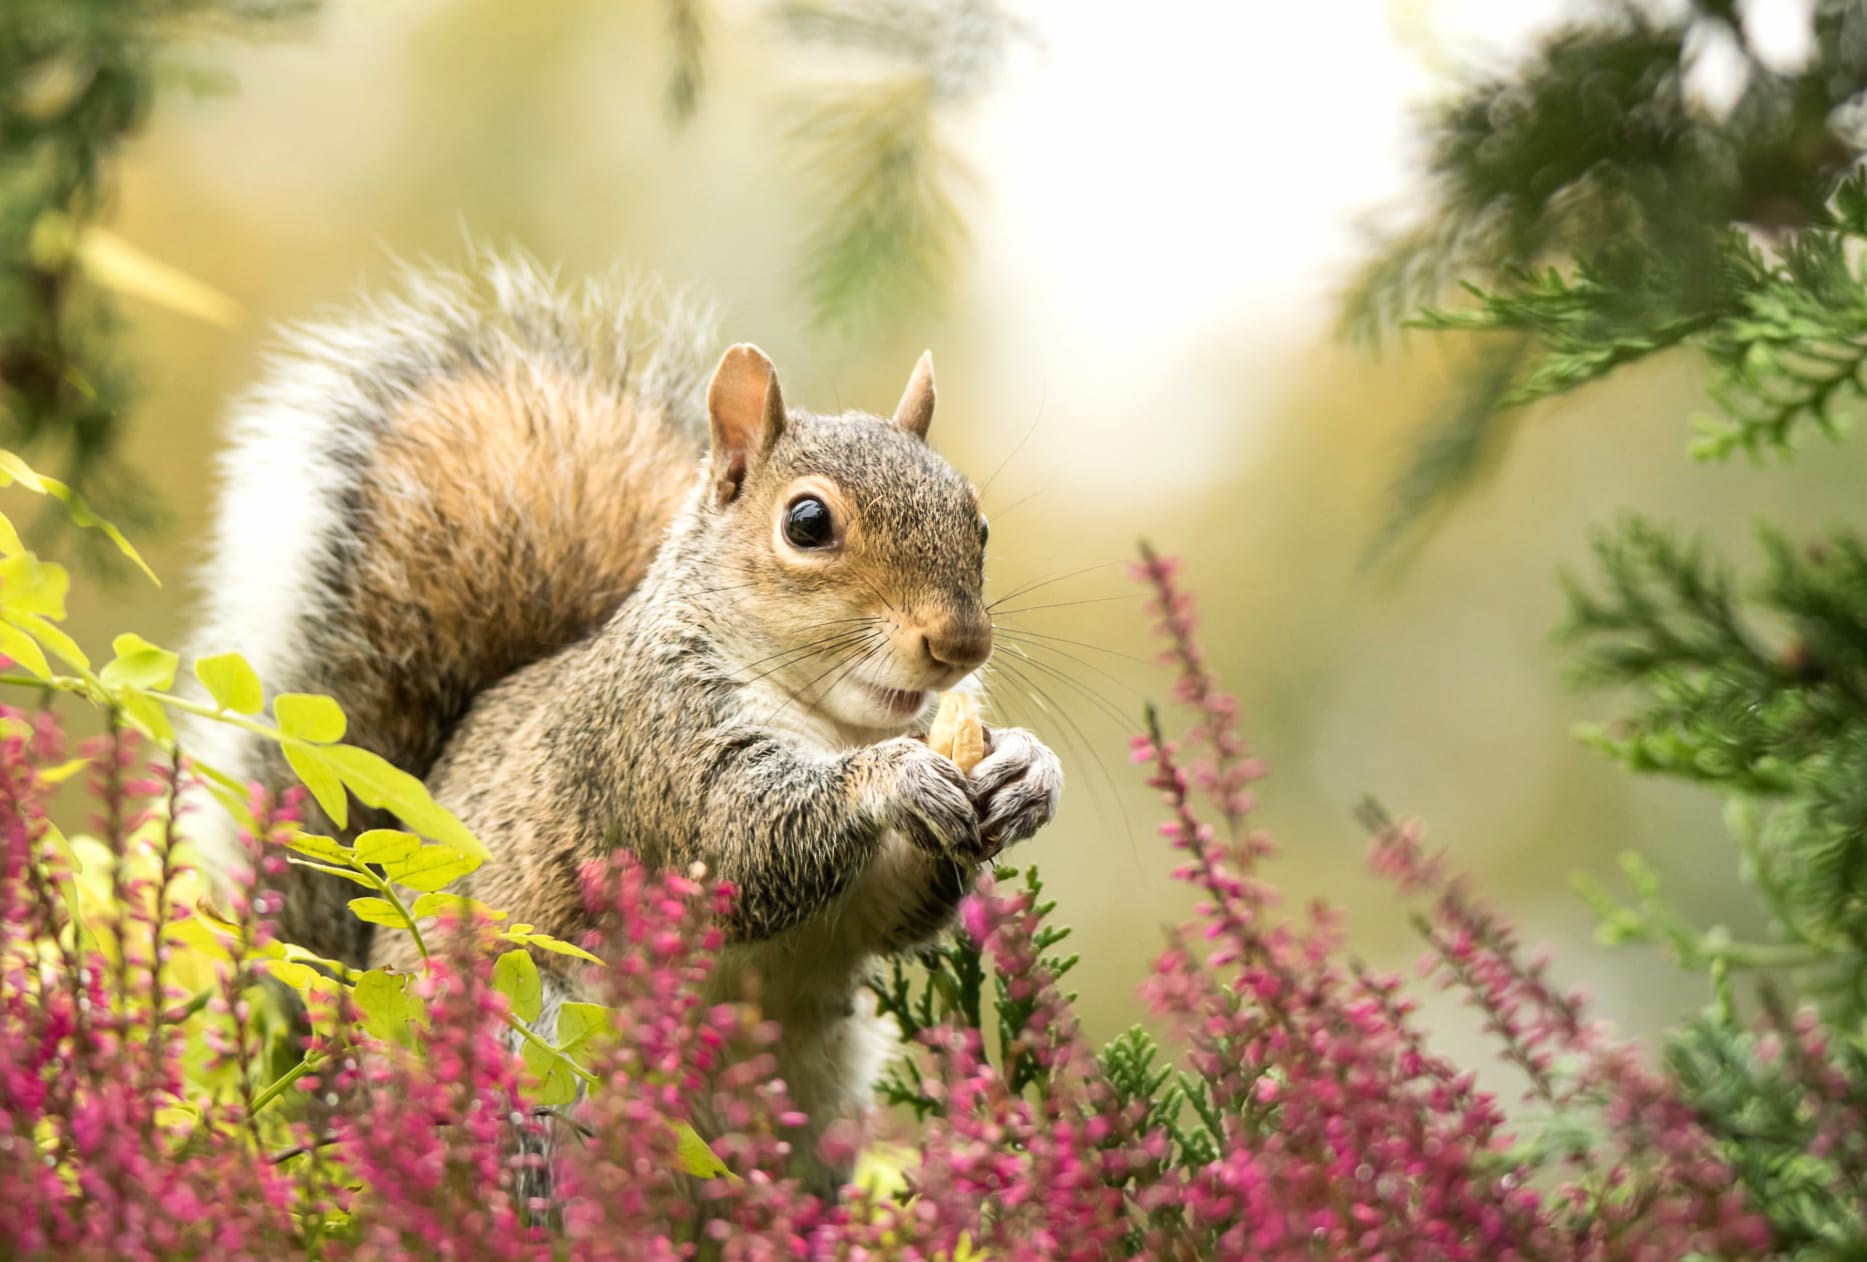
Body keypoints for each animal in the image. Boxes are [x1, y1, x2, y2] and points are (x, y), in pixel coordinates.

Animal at [193, 255, 1067, 1194]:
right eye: (807, 523)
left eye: (976, 520)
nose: (961, 642)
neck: (833, 723)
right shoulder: (648, 742)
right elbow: (741, 842)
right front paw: (892, 779)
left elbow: (893, 906)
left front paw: (1026, 770)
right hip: (521, 1047)